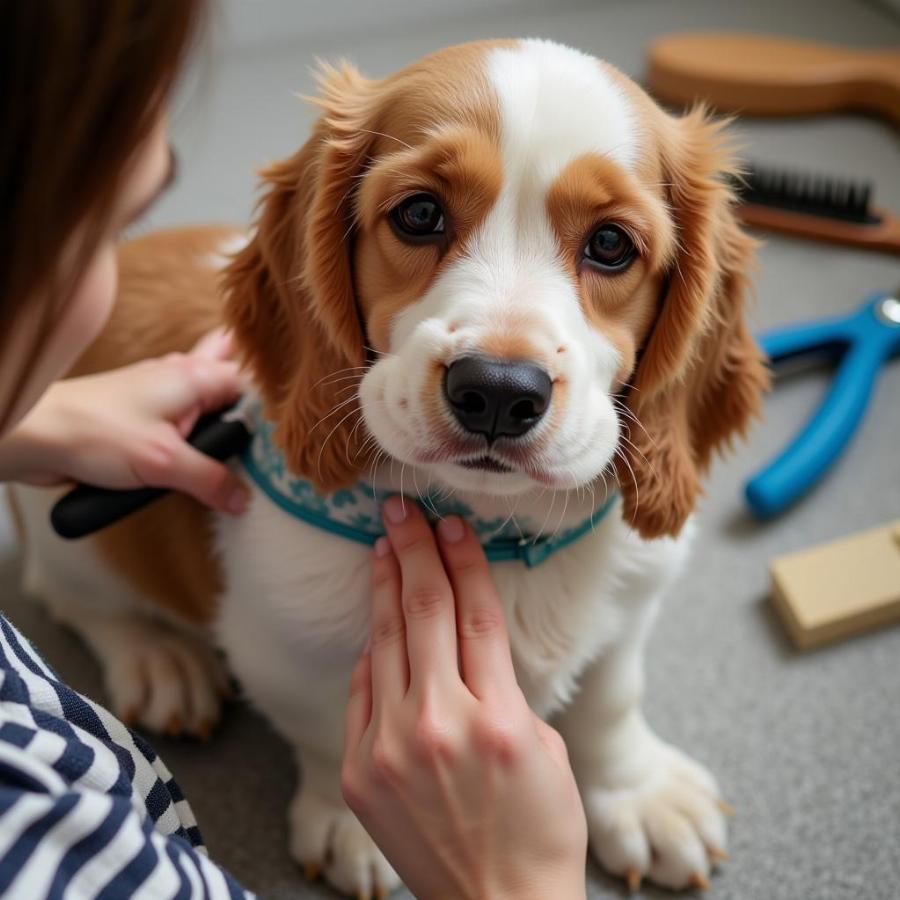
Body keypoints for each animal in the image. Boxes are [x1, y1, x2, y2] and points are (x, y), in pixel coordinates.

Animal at [14, 38, 768, 896]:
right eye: (420, 214)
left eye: (611, 244)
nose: (498, 392)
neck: (493, 530)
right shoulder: (283, 641)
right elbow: (326, 722)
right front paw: (359, 827)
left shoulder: (634, 598)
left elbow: (609, 698)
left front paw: (639, 795)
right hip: (69, 534)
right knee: (71, 595)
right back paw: (157, 660)